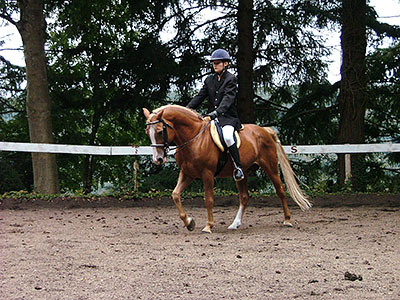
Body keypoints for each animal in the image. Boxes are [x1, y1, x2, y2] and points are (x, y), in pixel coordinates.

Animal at [144, 104, 312, 233]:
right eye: (148, 133)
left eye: (160, 131)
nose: (158, 159)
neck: (194, 138)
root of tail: (265, 130)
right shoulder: (187, 174)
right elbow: (175, 195)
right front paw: (189, 222)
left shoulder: (207, 174)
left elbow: (208, 199)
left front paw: (208, 226)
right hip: (243, 173)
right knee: (244, 197)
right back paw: (234, 224)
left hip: (270, 167)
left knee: (280, 190)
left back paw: (287, 220)